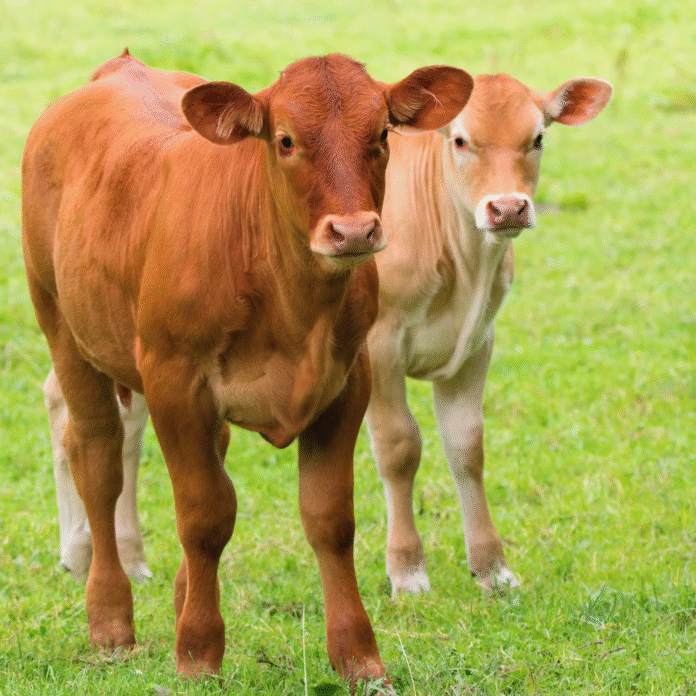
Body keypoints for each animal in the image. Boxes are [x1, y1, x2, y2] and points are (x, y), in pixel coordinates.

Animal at [22, 50, 473, 689]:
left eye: (382, 134)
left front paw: (359, 658)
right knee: (98, 461)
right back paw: (110, 622)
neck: (290, 304)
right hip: (62, 325)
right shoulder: (173, 382)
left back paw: (181, 596)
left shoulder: (346, 385)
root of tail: (116, 71)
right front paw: (197, 653)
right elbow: (205, 515)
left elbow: (329, 519)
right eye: (285, 140)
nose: (354, 230)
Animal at [367, 73, 613, 596]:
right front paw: (407, 572)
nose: (508, 208)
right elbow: (398, 446)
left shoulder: (478, 343)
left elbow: (466, 445)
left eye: (538, 138)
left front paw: (492, 568)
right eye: (461, 140)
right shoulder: (379, 344)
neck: (466, 270)